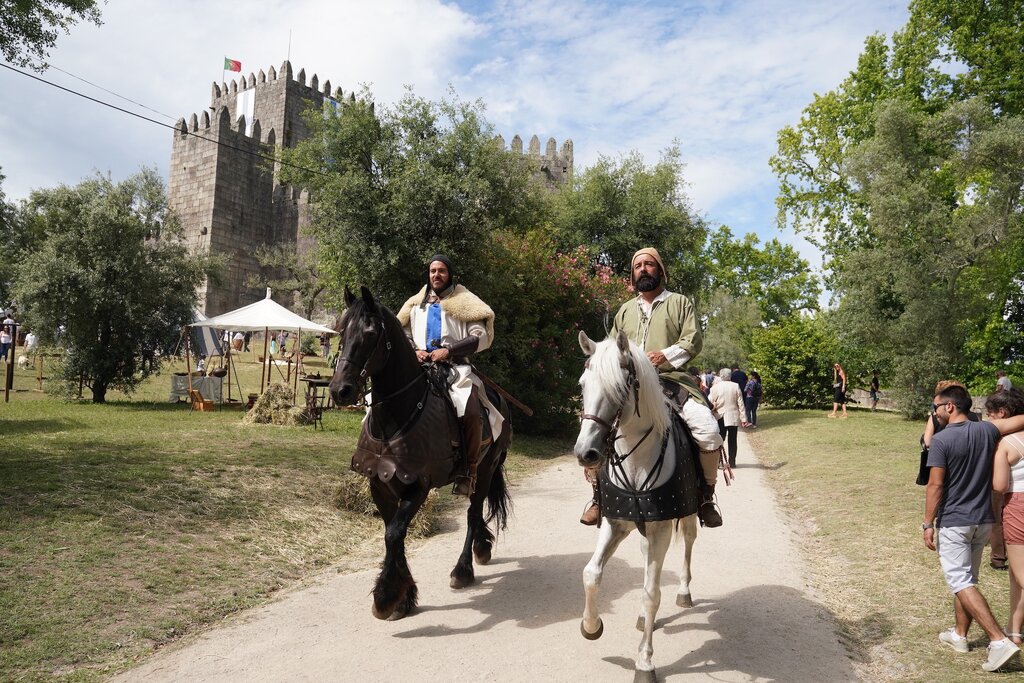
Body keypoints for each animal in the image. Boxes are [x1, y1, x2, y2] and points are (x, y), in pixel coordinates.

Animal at [331, 286, 512, 618]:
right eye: (341, 330)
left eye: (370, 332)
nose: (341, 390)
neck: (396, 417)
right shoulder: (380, 482)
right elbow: (392, 531)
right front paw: (404, 597)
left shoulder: (418, 485)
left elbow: (394, 533)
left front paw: (386, 596)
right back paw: (482, 548)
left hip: (485, 468)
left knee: (472, 512)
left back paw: (463, 569)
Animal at [577, 327, 696, 679]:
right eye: (582, 386)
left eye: (619, 388)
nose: (586, 453)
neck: (636, 462)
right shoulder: (615, 523)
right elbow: (591, 574)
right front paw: (591, 626)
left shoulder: (661, 529)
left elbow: (651, 594)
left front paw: (645, 661)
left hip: (686, 519)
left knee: (688, 541)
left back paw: (684, 592)